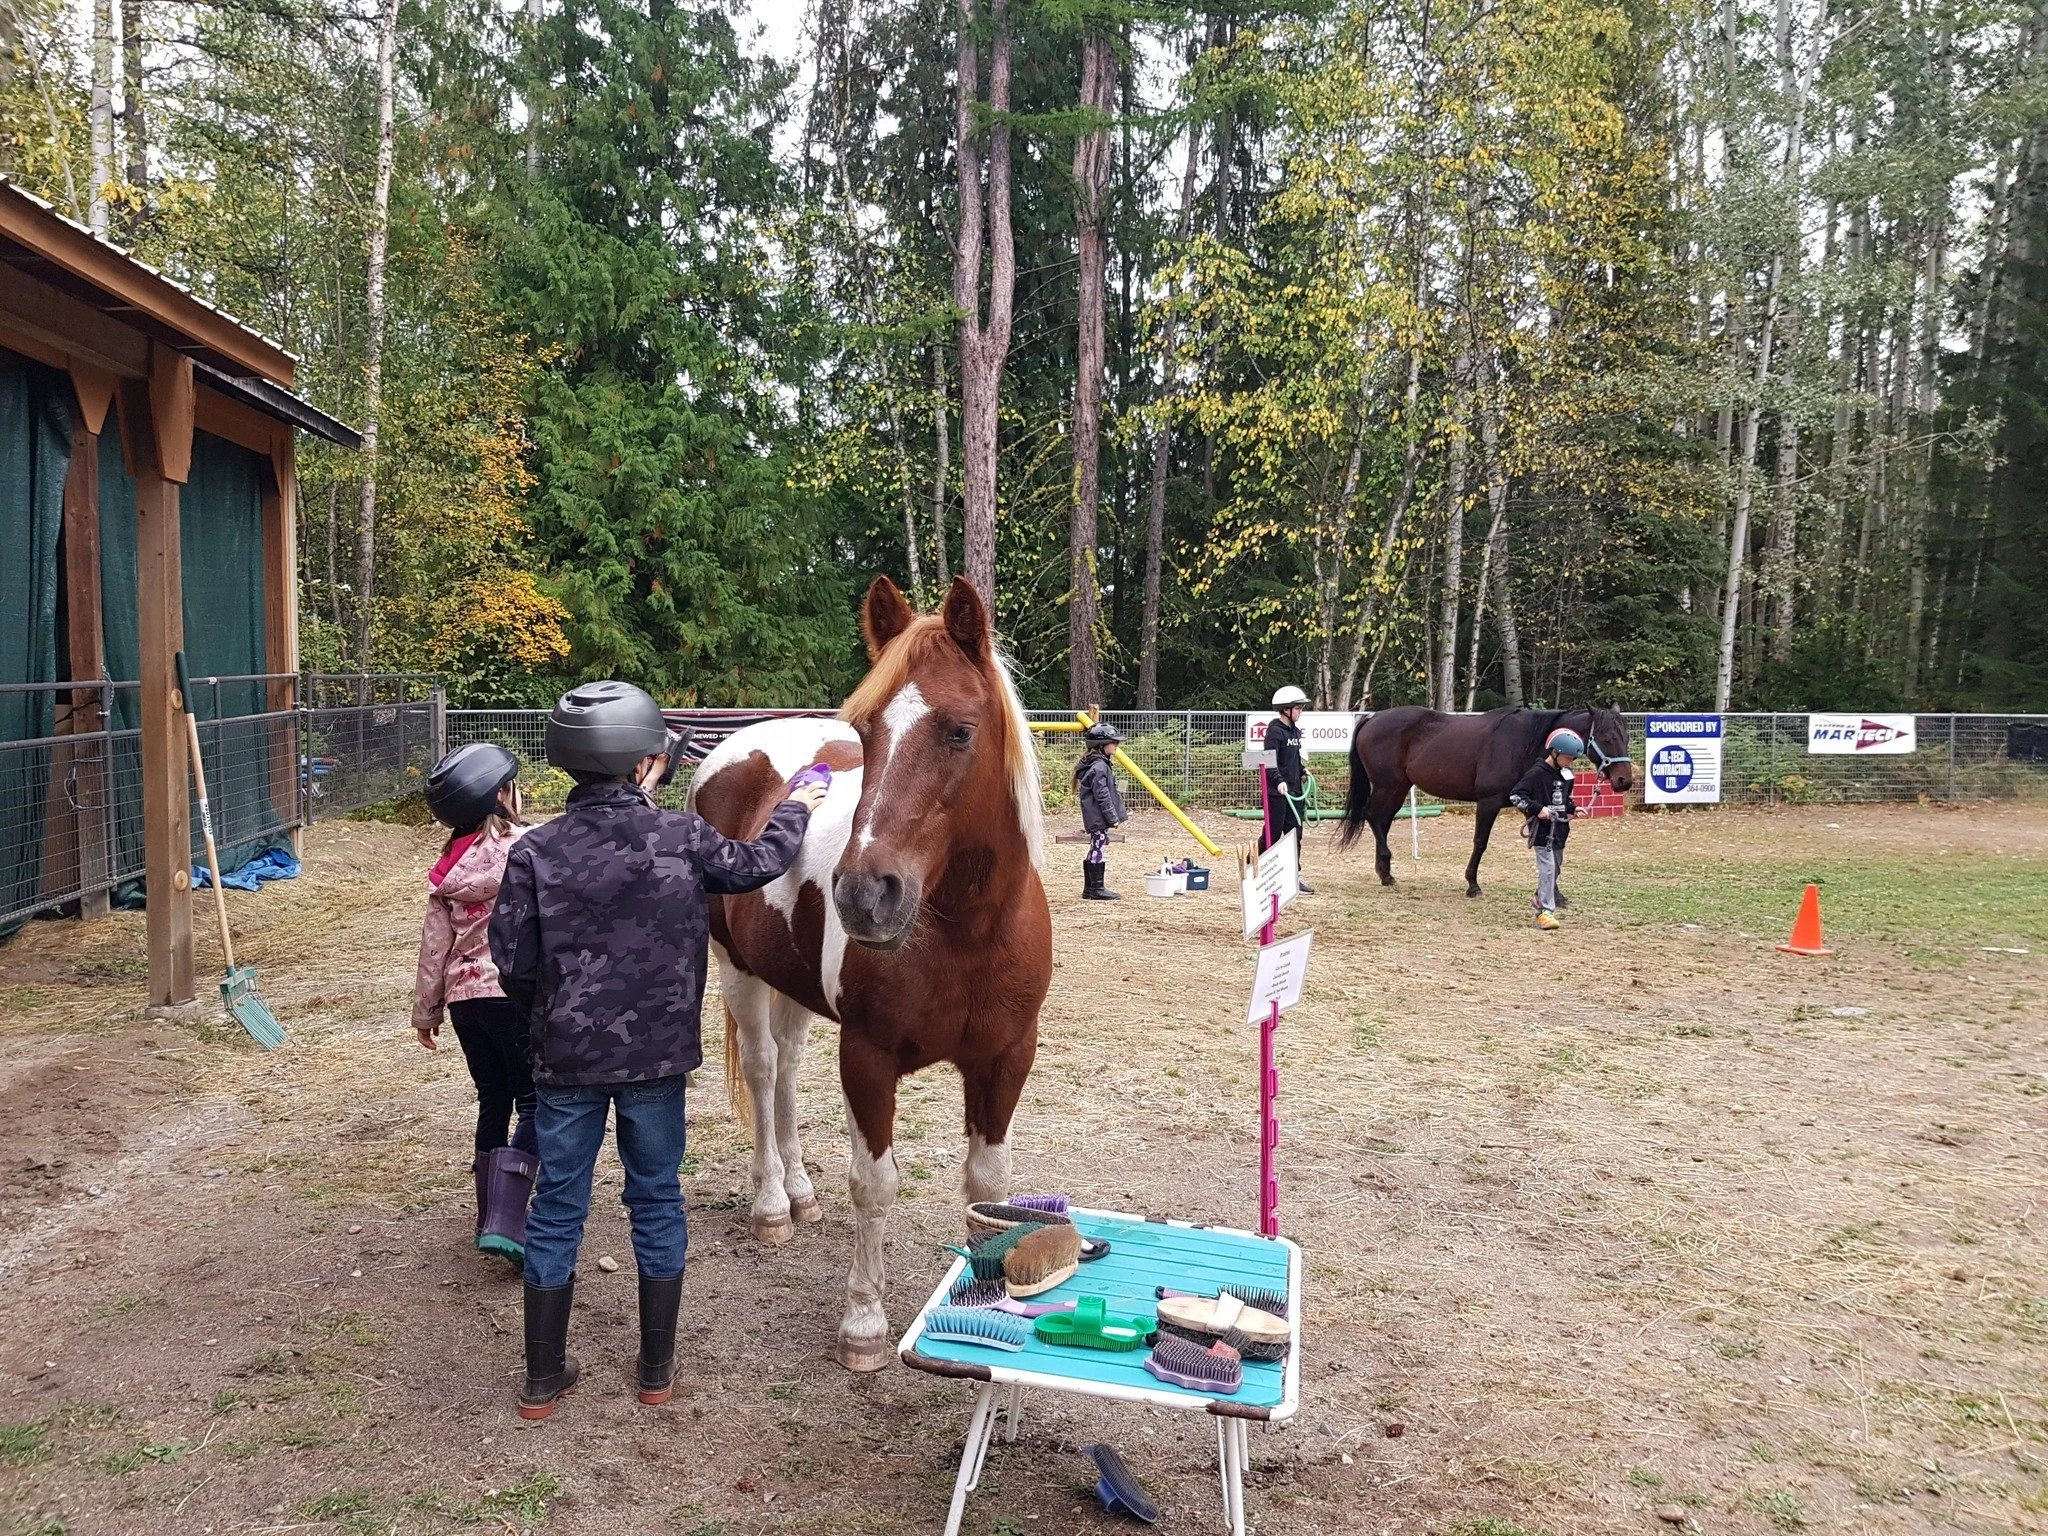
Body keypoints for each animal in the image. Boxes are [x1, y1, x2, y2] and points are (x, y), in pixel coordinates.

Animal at [688, 575, 1052, 1372]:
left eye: (959, 731)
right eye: (864, 732)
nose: (863, 894)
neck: (964, 936)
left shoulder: (1007, 1059)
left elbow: (988, 1184)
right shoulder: (868, 1056)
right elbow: (874, 1184)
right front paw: (863, 1323)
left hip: (789, 984)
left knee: (787, 1068)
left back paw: (799, 1191)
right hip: (737, 970)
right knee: (763, 1070)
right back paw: (771, 1206)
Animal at [1337, 705, 1635, 898]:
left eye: (1626, 736)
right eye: (1607, 738)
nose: (1624, 781)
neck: (1525, 743)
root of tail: (1373, 718)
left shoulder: (1532, 804)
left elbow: (1546, 846)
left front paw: (1554, 893)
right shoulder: (1488, 802)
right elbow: (1480, 843)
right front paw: (1472, 884)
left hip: (1398, 787)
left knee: (1382, 821)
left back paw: (1384, 872)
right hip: (1388, 785)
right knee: (1374, 817)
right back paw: (1386, 870)